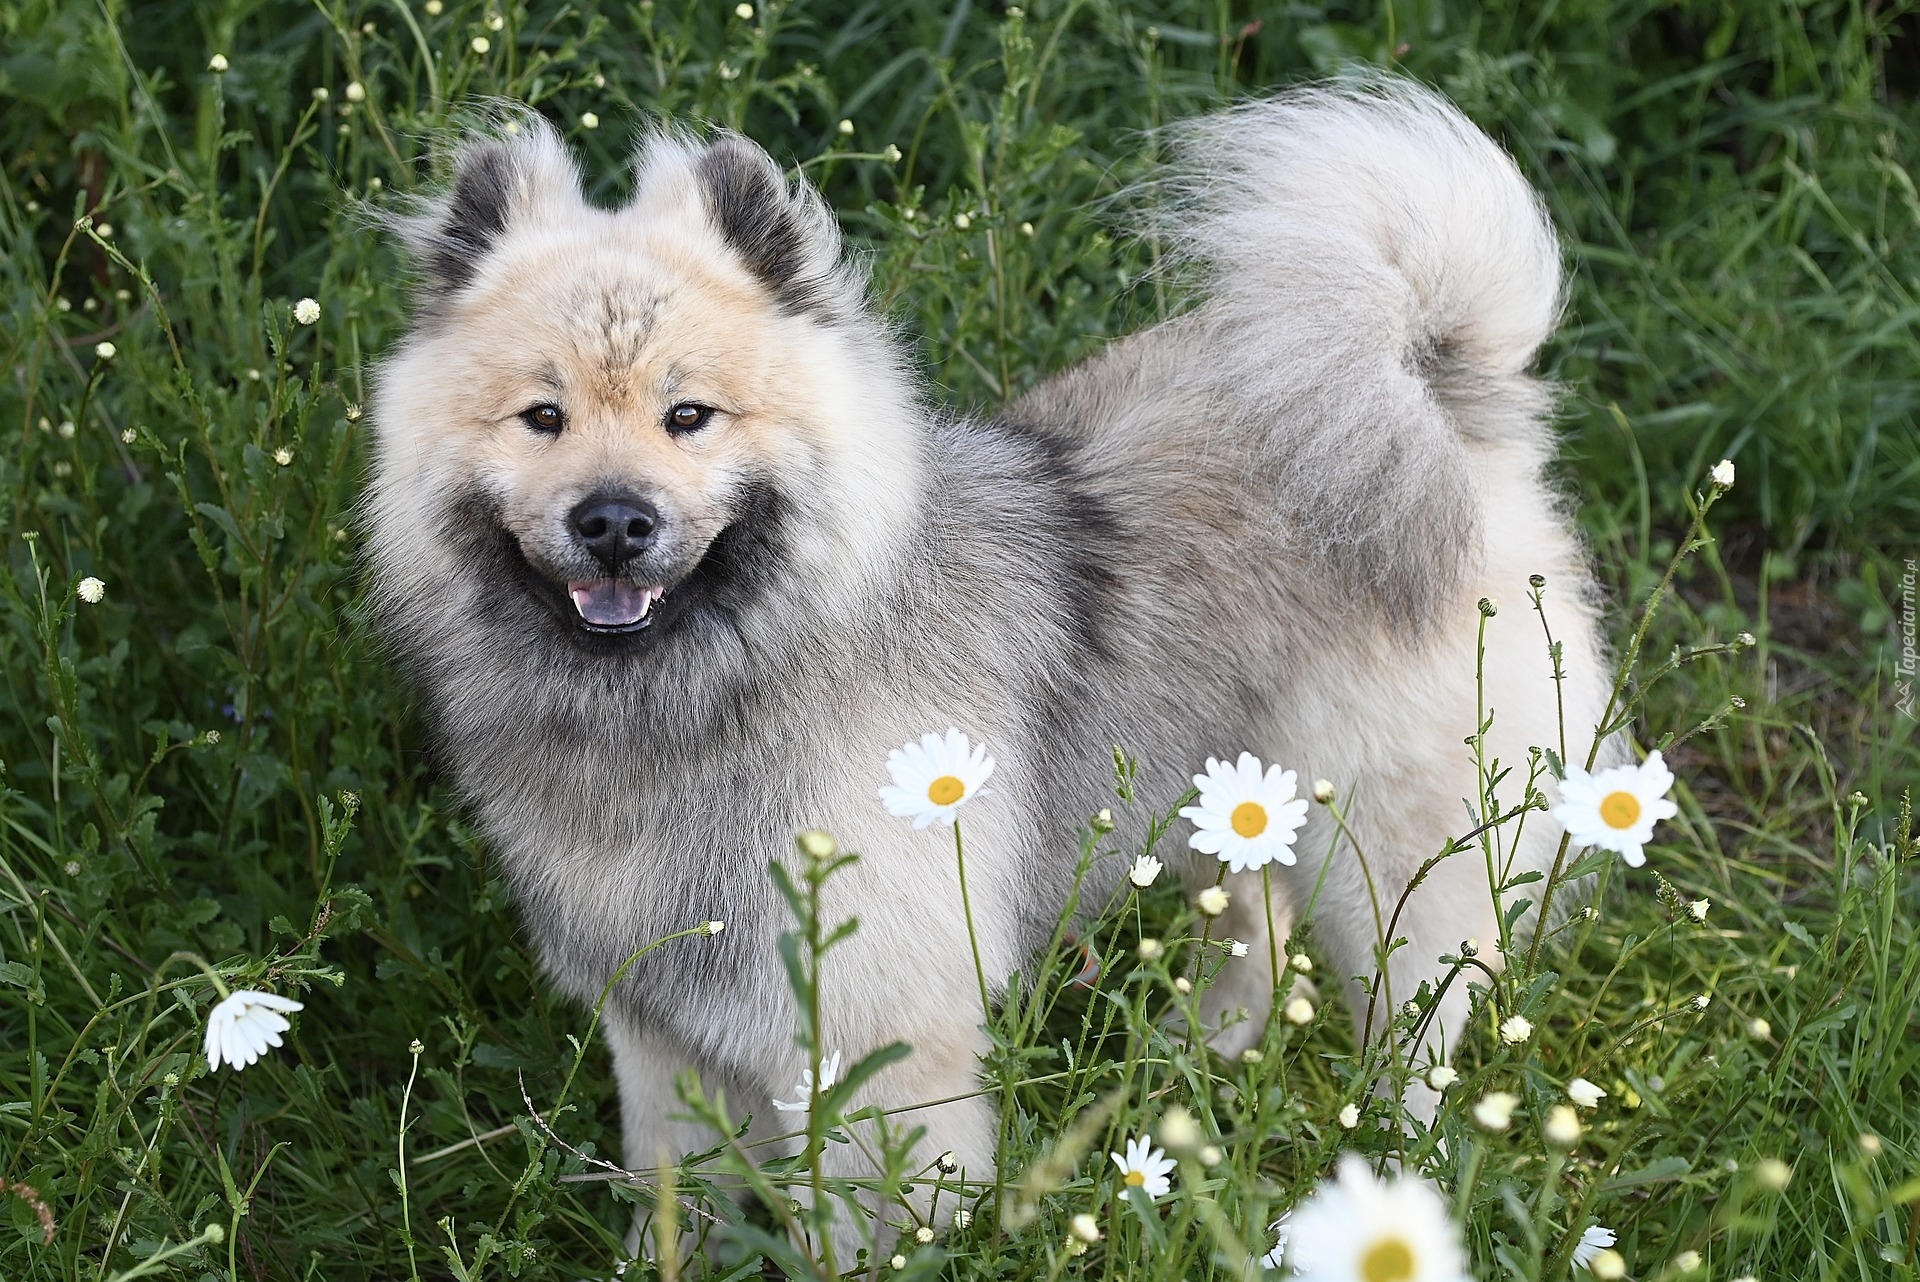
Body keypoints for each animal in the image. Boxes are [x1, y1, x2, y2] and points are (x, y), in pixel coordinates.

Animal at [360, 77, 1605, 1212]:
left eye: (689, 417)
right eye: (543, 418)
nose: (613, 521)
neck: (704, 698)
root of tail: (1427, 384)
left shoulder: (873, 1039)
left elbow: (875, 1220)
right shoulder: (662, 1028)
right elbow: (686, 1193)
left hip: (1390, 866)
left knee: (1416, 1030)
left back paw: (1396, 1161)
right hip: (1221, 792)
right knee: (1254, 927)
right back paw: (1191, 1052)